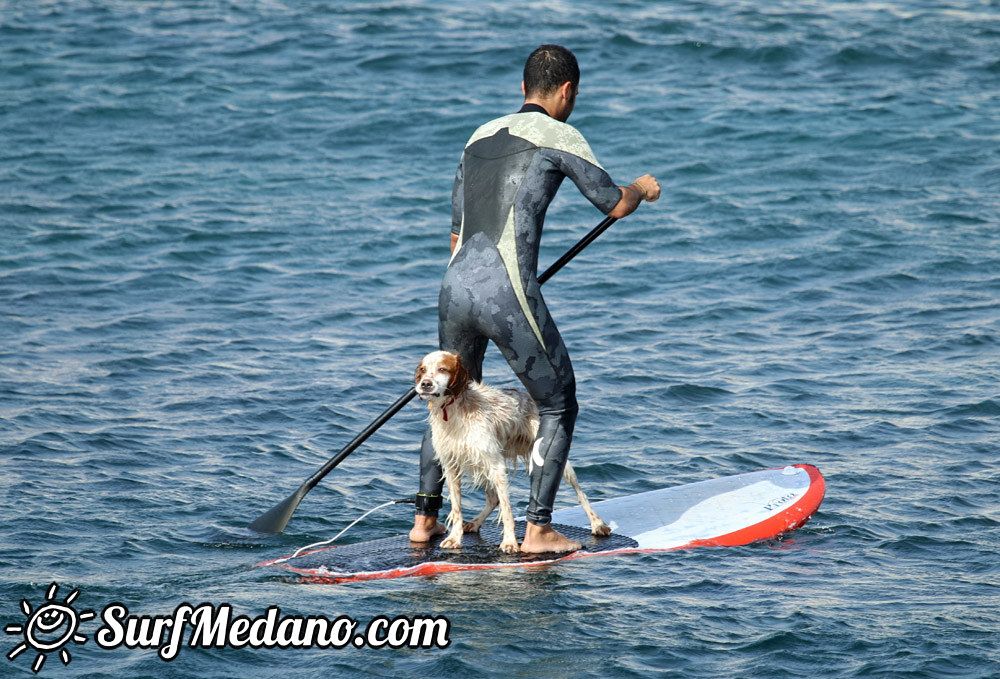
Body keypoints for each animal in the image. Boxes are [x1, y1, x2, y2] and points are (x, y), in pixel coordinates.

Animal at [414, 350, 608, 552]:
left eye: (442, 369)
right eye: (423, 369)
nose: (425, 384)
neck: (454, 411)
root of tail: (528, 396)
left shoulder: (496, 465)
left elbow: (507, 510)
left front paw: (509, 542)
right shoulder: (451, 467)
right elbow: (457, 508)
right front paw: (454, 538)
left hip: (554, 460)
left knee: (580, 493)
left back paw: (597, 524)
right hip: (482, 464)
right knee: (493, 499)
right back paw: (475, 523)